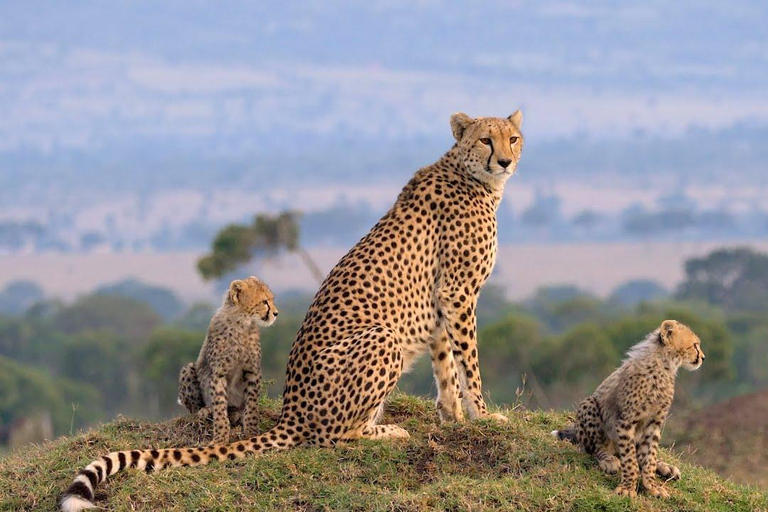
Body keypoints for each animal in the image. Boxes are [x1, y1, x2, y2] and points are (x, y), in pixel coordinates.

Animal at [177, 276, 280, 444]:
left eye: (271, 300)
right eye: (264, 301)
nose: (276, 313)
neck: (241, 323)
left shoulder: (252, 370)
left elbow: (252, 404)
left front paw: (251, 431)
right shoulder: (218, 373)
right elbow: (219, 406)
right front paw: (220, 437)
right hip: (189, 370)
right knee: (196, 408)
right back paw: (205, 410)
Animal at [552, 322, 708, 498]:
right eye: (694, 345)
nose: (703, 357)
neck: (664, 366)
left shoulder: (654, 423)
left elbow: (649, 456)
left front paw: (652, 485)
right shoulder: (626, 422)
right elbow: (629, 459)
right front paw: (627, 487)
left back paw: (665, 467)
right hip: (589, 404)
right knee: (596, 447)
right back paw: (608, 460)